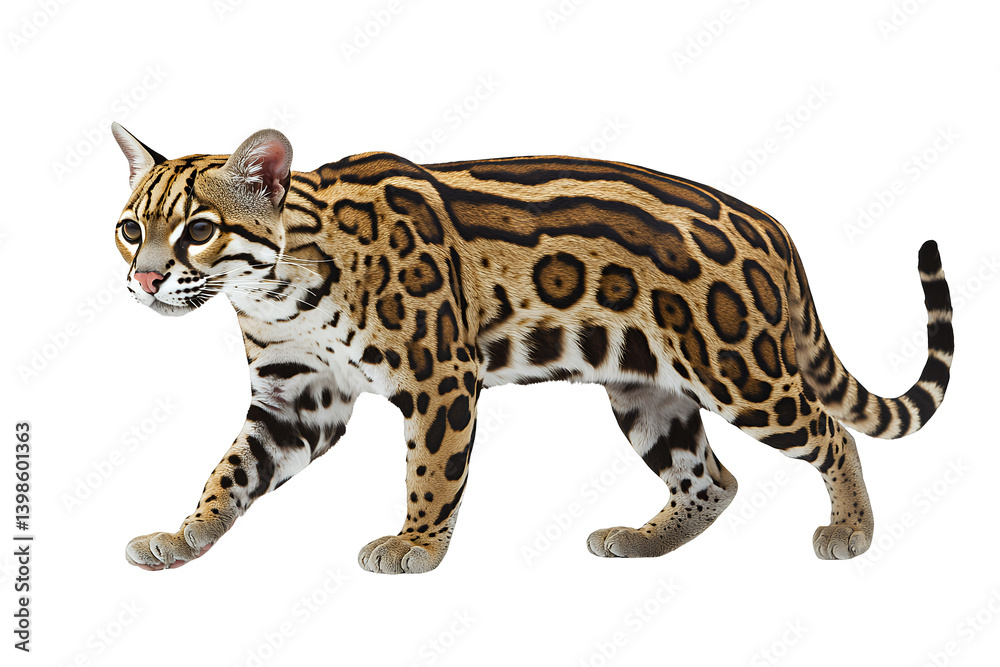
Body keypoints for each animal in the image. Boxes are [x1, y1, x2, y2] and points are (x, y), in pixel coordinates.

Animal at [109, 122, 953, 573]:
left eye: (198, 228)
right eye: (129, 227)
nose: (144, 279)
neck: (274, 292)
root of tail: (775, 229)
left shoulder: (442, 373)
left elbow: (431, 471)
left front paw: (416, 543)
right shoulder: (295, 398)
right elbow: (229, 470)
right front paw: (187, 532)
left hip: (740, 370)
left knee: (834, 433)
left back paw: (852, 528)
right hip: (646, 390)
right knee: (712, 478)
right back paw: (644, 540)